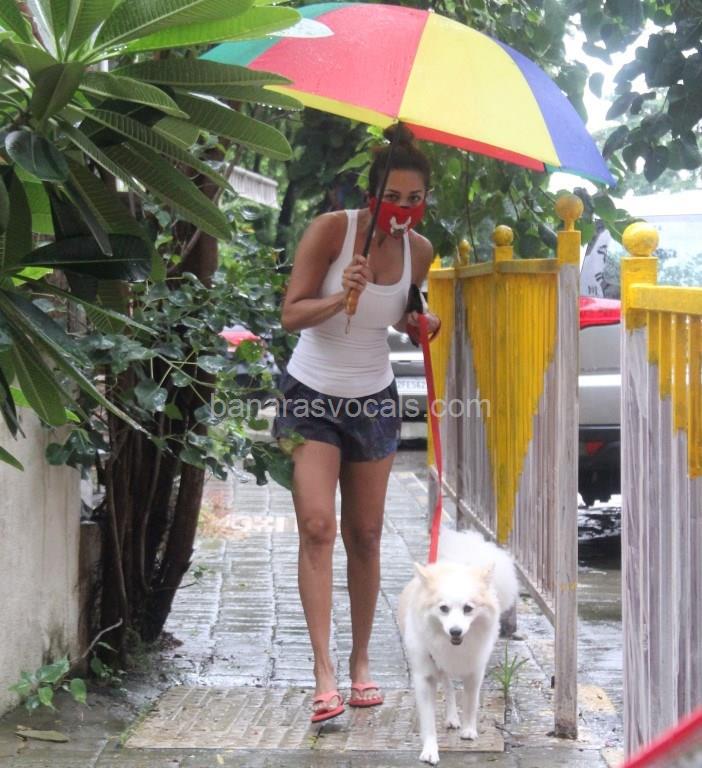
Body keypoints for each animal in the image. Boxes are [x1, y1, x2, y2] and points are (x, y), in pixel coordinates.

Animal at [398, 528, 519, 765]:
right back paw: (452, 717)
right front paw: (430, 750)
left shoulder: (474, 670)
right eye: (443, 608)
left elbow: (471, 702)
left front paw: (469, 730)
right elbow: (428, 720)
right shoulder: (425, 676)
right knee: (448, 687)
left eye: (468, 609)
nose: (455, 631)